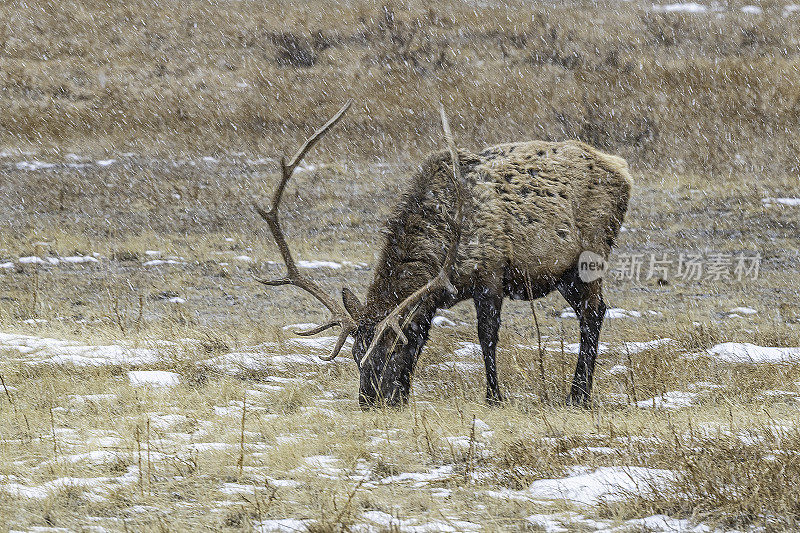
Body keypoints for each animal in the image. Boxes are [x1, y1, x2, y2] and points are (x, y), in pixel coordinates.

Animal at [255, 101, 632, 408]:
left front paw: (494, 397)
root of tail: (623, 169)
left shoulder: (491, 275)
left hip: (591, 253)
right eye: (355, 351)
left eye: (393, 348)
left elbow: (487, 337)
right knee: (591, 312)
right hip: (563, 274)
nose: (369, 399)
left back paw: (578, 395)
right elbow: (426, 333)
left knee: (594, 313)